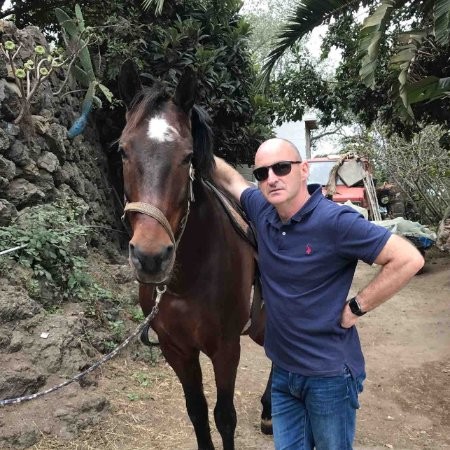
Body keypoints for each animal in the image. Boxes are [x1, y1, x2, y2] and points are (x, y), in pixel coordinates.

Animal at [117, 62, 270, 450]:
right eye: (123, 151)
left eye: (187, 156)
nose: (151, 256)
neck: (189, 280)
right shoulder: (177, 350)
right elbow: (197, 412)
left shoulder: (226, 348)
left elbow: (224, 417)